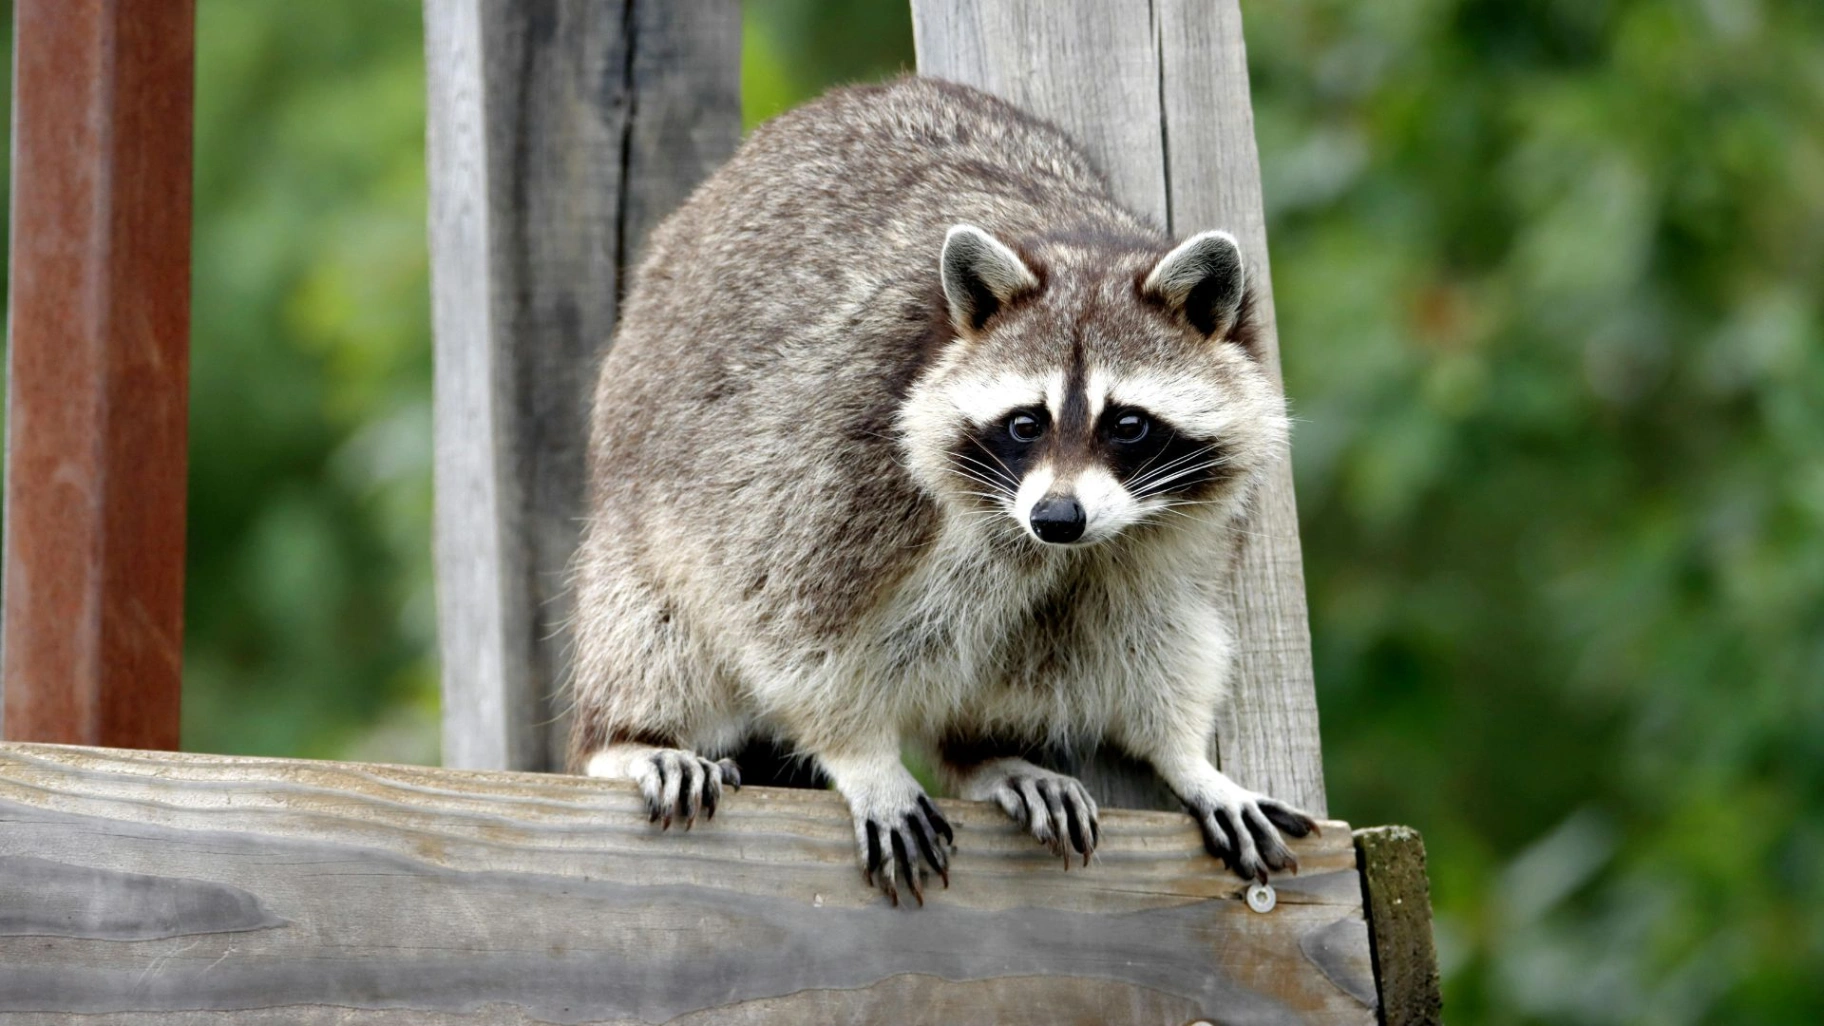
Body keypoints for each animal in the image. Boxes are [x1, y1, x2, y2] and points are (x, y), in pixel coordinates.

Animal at [569, 76, 1316, 904]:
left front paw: (1183, 755)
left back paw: (986, 753)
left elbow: (1159, 629)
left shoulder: (1171, 530)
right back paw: (627, 735)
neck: (1076, 240)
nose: (1057, 518)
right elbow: (788, 624)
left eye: (1128, 424)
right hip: (639, 511)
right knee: (653, 626)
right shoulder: (837, 453)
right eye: (1025, 423)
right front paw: (861, 753)